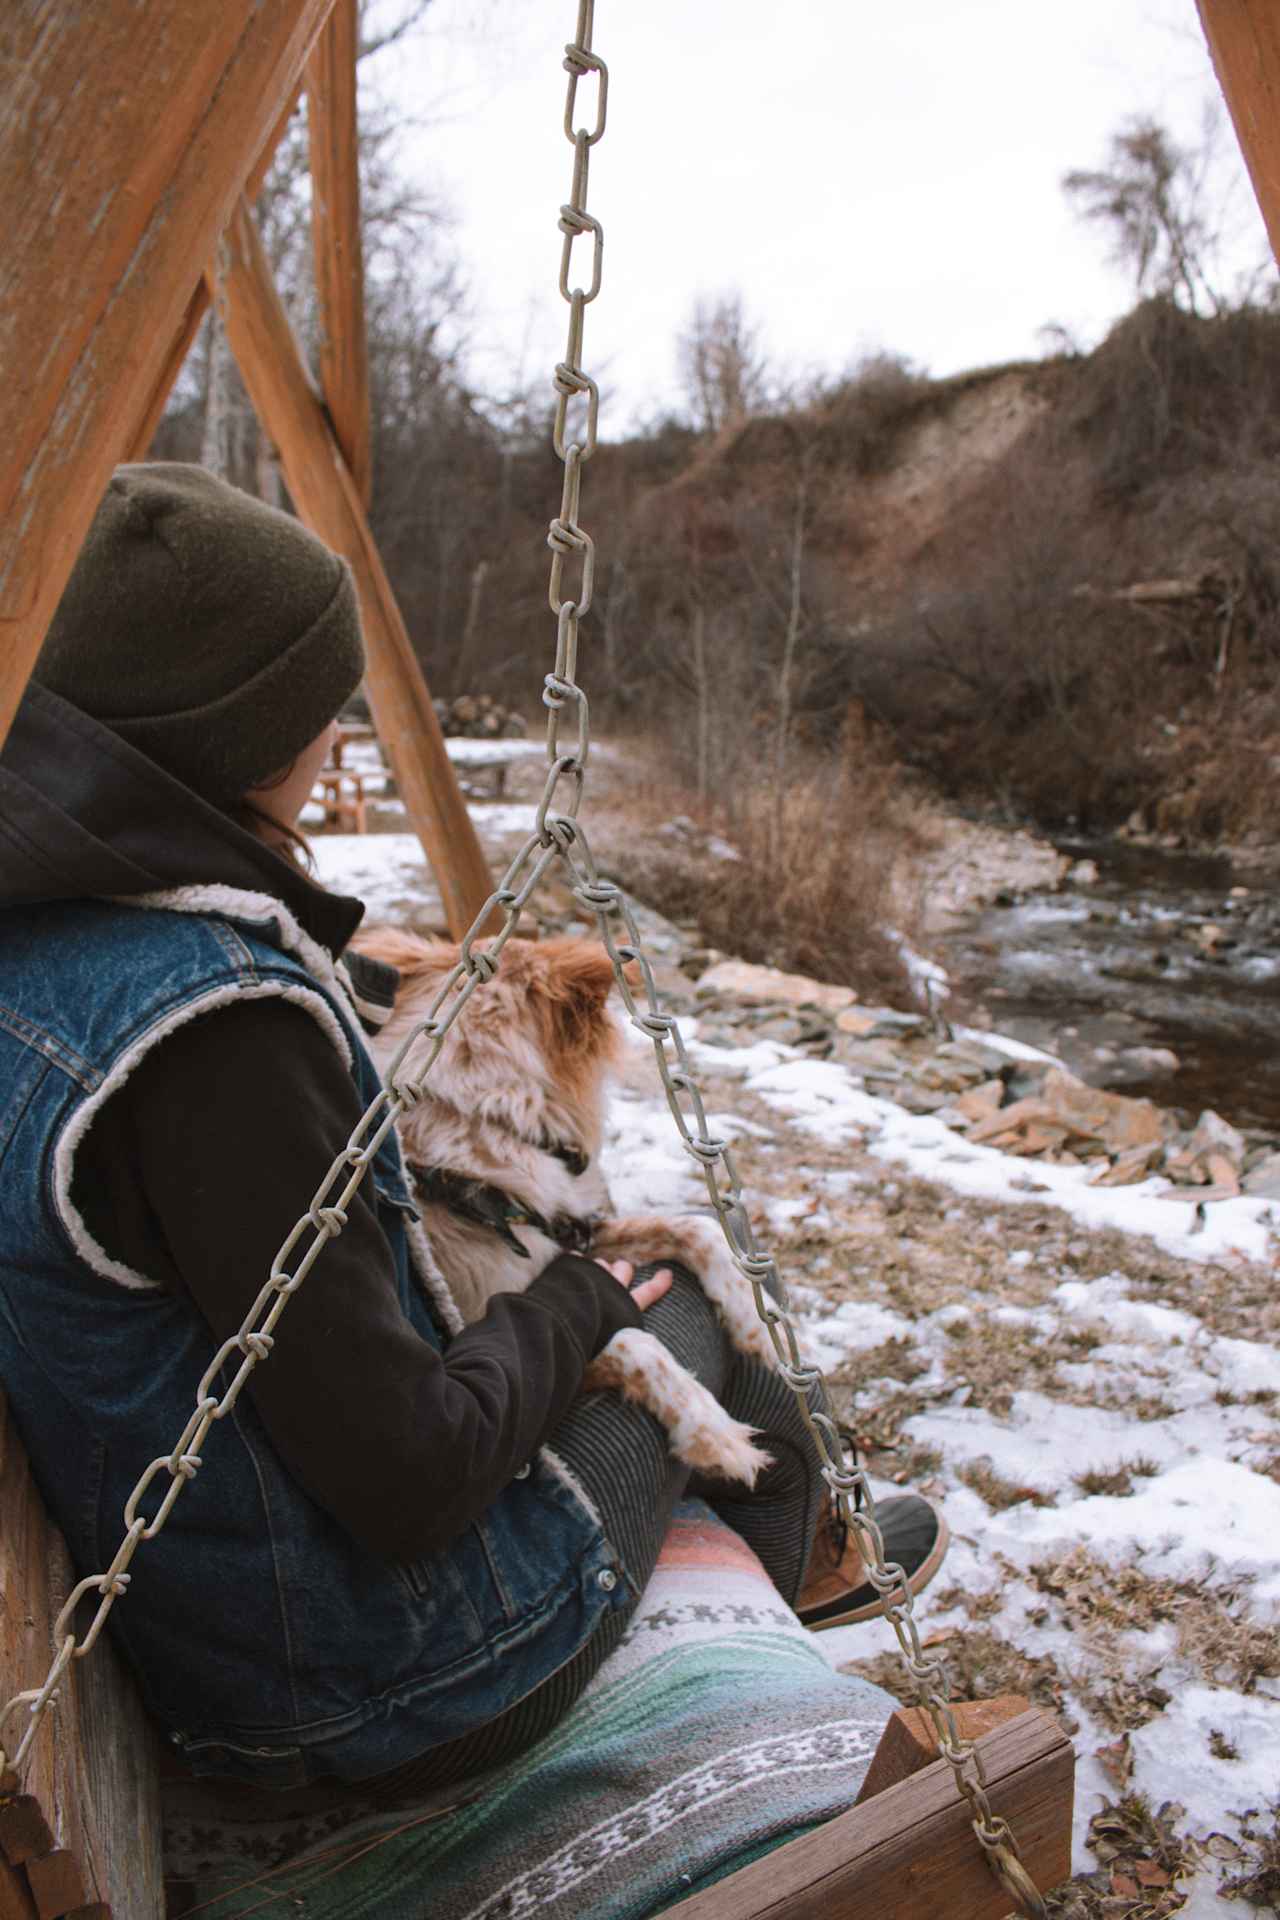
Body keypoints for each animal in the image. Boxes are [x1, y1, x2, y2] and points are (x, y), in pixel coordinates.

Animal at [355, 929, 786, 1482]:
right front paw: (712, 1431)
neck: (483, 1124)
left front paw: (759, 1325)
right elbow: (634, 1342)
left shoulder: (569, 1231)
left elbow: (696, 1229)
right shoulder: (470, 1327)